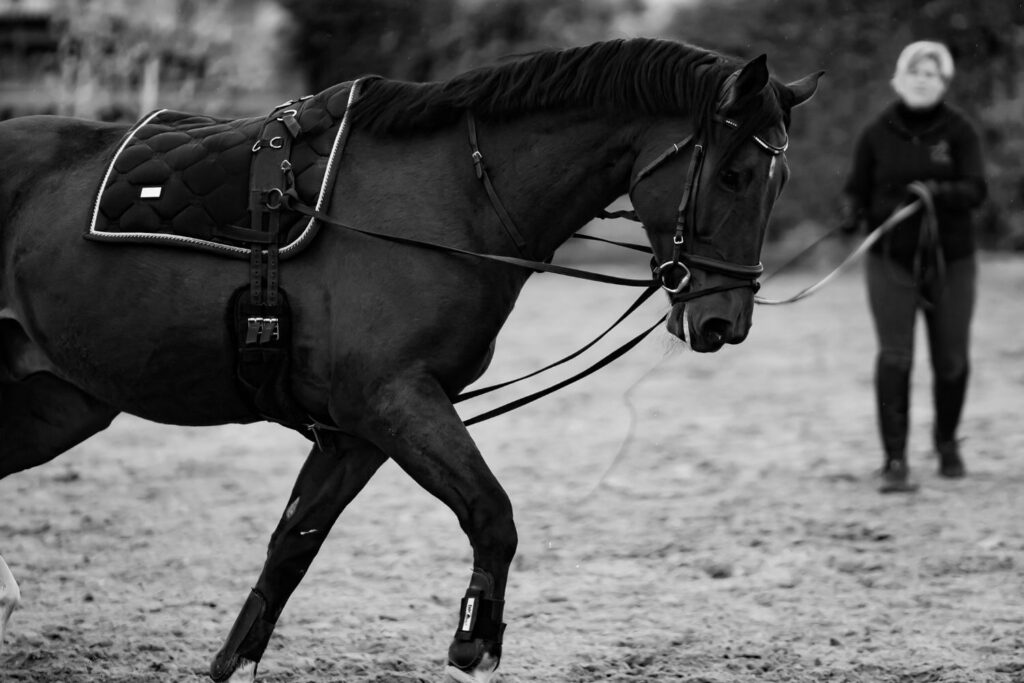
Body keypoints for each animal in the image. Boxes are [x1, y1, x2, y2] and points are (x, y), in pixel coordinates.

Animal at [0, 38, 820, 681]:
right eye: (735, 174)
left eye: (779, 179)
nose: (723, 321)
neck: (454, 199)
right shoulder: (391, 401)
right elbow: (492, 513)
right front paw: (473, 643)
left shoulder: (358, 432)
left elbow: (290, 549)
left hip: (58, 404)